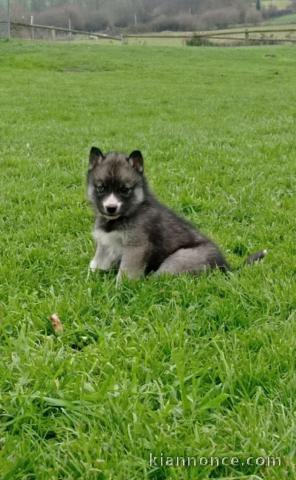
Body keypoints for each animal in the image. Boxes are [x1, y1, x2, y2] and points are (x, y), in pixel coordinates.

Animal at [86, 148, 264, 284]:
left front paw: (119, 290)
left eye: (124, 189)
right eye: (101, 188)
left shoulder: (136, 248)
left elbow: (126, 273)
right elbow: (95, 264)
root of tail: (225, 268)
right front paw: (88, 280)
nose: (111, 208)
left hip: (177, 260)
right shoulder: (105, 244)